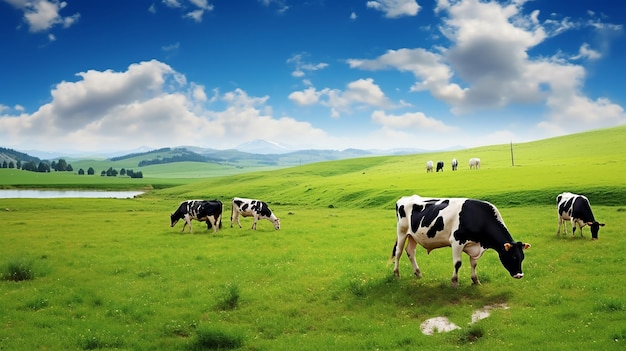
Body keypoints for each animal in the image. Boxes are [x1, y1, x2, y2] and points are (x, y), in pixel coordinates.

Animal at [392, 195, 528, 288]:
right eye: (513, 257)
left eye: (522, 258)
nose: (519, 275)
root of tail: (405, 198)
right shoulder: (457, 241)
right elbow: (457, 263)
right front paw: (454, 282)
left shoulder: (474, 245)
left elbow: (474, 264)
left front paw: (475, 280)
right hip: (402, 232)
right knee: (398, 252)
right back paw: (396, 274)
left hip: (413, 236)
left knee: (410, 251)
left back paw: (418, 273)